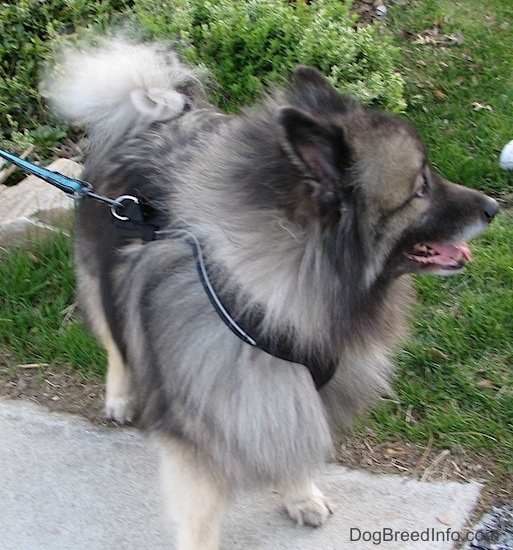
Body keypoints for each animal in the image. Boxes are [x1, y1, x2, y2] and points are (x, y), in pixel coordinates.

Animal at [45, 40, 496, 550]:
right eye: (420, 187)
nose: (494, 207)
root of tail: (149, 116)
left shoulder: (298, 391)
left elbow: (297, 446)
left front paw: (301, 496)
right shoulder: (203, 432)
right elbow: (200, 520)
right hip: (101, 275)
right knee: (114, 339)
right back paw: (120, 396)